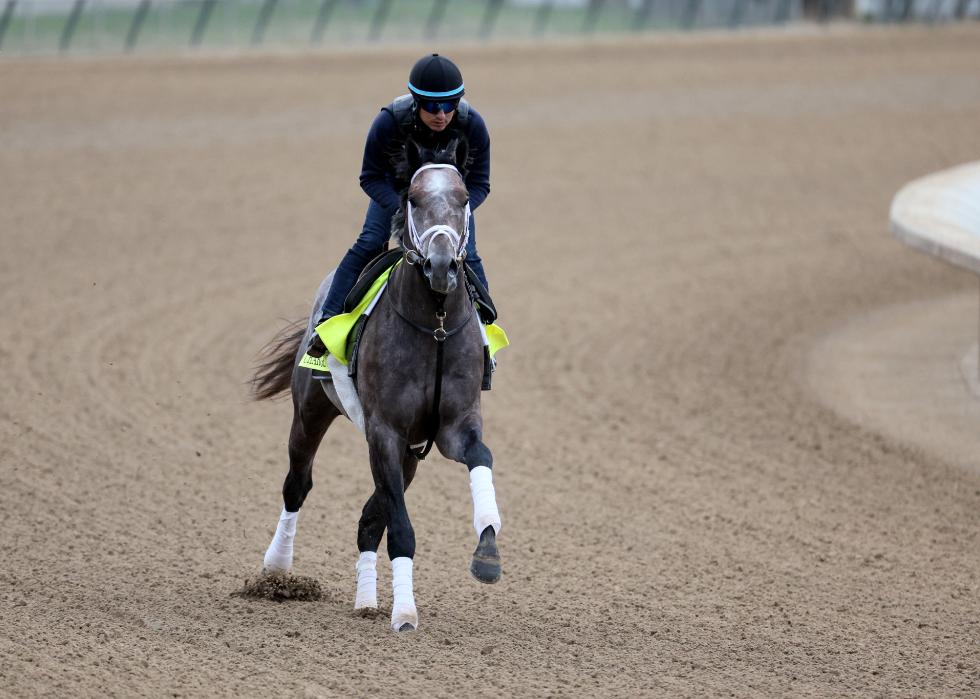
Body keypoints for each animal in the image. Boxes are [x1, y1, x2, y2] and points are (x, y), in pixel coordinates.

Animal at [249, 137, 502, 636]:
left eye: (464, 198)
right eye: (414, 199)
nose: (442, 265)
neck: (435, 326)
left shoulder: (451, 428)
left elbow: (480, 458)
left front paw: (487, 554)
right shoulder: (384, 430)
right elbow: (401, 529)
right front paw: (405, 613)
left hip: (411, 452)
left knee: (370, 517)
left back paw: (365, 601)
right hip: (311, 412)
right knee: (297, 485)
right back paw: (277, 569)